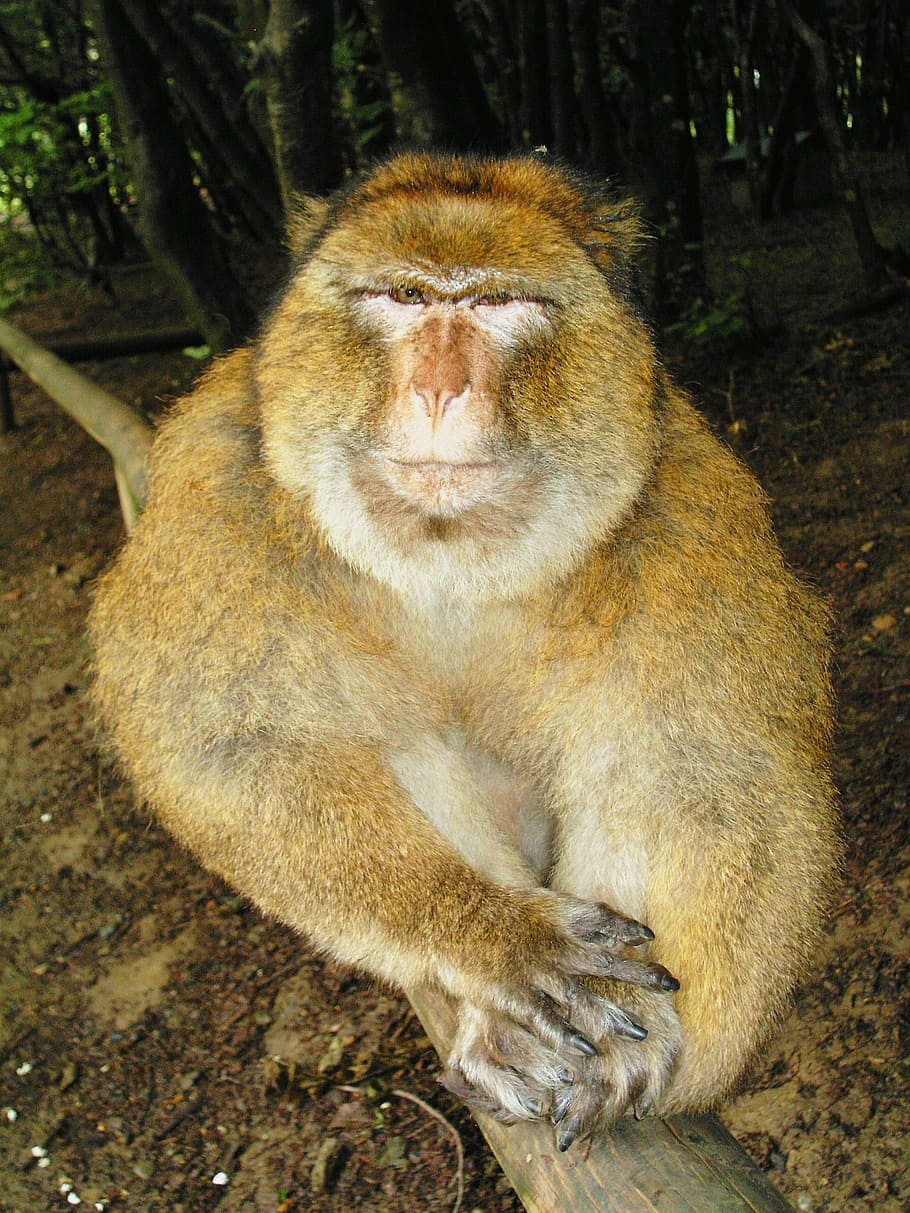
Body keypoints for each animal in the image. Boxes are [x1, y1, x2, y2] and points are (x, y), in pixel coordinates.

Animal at [89, 152, 839, 1151]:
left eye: (496, 303)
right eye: (404, 295)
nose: (439, 389)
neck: (448, 553)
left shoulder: (685, 509)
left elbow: (701, 770)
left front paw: (651, 1045)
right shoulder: (223, 487)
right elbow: (234, 741)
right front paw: (491, 934)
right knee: (396, 731)